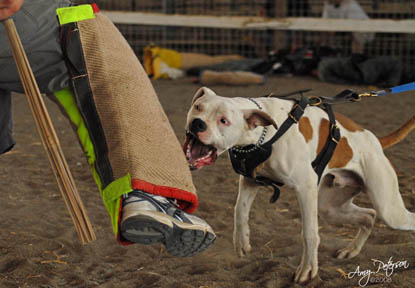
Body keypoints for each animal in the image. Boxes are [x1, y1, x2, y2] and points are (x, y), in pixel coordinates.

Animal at [184, 86, 415, 284]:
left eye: (223, 120)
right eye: (198, 107)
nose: (197, 123)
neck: (262, 135)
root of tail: (376, 141)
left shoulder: (306, 187)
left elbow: (310, 233)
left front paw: (308, 270)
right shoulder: (249, 180)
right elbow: (239, 211)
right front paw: (242, 242)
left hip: (389, 208)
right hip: (330, 207)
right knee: (369, 216)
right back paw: (351, 251)